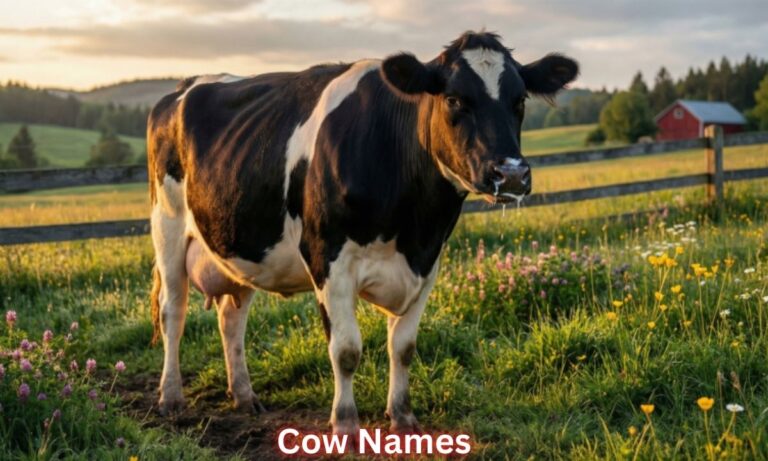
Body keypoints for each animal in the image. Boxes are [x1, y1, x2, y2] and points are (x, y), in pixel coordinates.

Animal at [147, 31, 578, 436]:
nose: (512, 174)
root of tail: (182, 87)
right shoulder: (328, 260)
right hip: (167, 226)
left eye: (520, 100)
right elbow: (346, 350)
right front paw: (345, 425)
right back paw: (171, 397)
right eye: (454, 99)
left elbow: (404, 347)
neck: (412, 225)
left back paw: (244, 395)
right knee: (173, 311)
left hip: (238, 245)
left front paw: (403, 417)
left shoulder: (428, 263)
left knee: (231, 317)